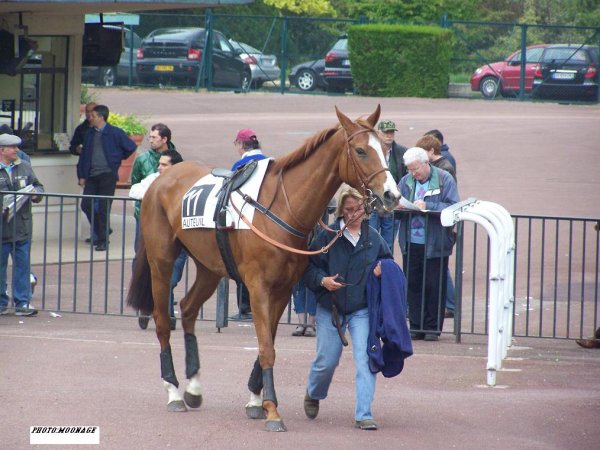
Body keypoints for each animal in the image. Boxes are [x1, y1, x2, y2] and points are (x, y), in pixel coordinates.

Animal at [126, 103, 398, 430]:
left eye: (385, 147)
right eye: (360, 150)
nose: (392, 195)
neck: (282, 208)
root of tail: (160, 180)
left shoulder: (282, 289)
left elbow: (268, 343)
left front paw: (257, 401)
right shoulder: (258, 287)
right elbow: (266, 347)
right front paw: (272, 411)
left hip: (209, 267)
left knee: (188, 309)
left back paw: (193, 387)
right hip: (162, 262)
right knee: (163, 321)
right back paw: (174, 391)